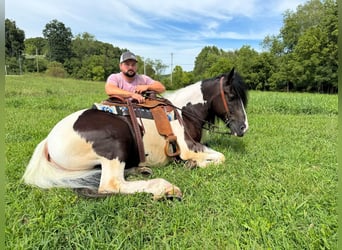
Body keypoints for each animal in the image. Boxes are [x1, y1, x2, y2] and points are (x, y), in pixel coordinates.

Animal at [23, 68, 248, 199]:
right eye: (231, 96)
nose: (244, 127)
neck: (185, 112)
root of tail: (48, 141)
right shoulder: (188, 148)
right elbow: (220, 157)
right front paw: (195, 163)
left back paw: (141, 170)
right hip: (115, 145)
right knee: (111, 185)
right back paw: (164, 188)